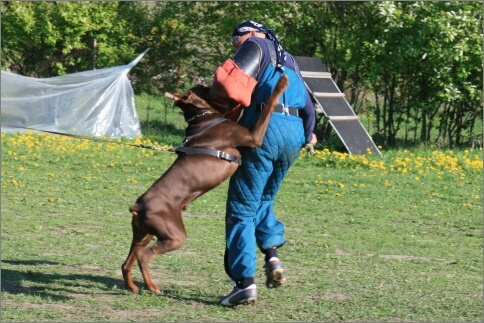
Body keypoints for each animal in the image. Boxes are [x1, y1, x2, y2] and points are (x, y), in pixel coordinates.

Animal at [122, 74, 288, 294]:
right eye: (202, 87)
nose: (207, 79)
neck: (203, 117)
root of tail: (138, 206)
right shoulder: (253, 137)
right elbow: (268, 105)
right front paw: (282, 83)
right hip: (174, 235)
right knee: (144, 255)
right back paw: (152, 286)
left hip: (143, 232)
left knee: (127, 262)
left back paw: (132, 286)